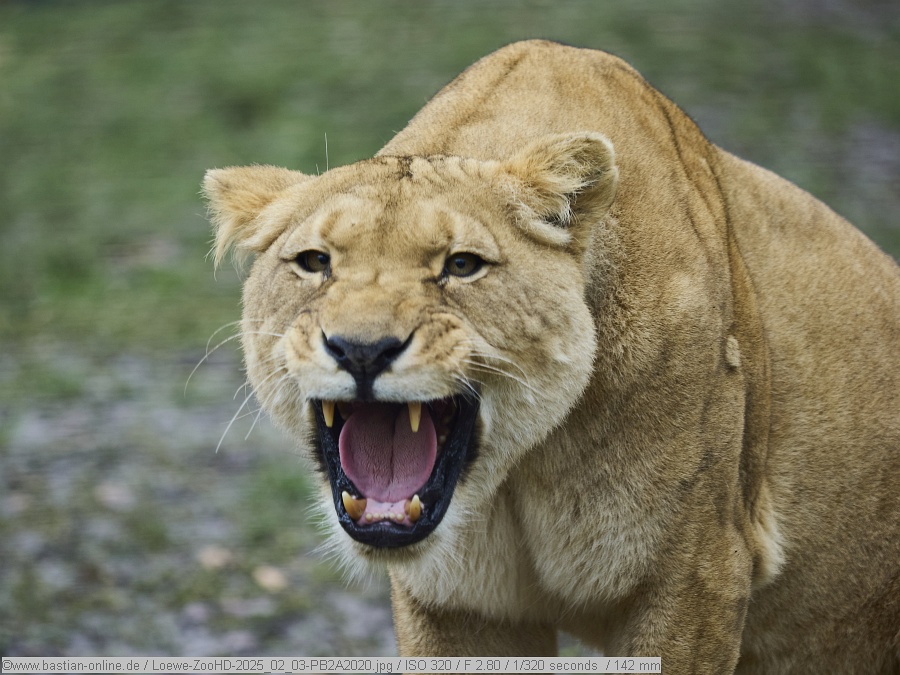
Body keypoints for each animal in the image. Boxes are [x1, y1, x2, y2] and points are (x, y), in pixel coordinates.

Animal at [202, 41, 900, 673]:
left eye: (462, 266)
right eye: (314, 262)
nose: (363, 350)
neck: (515, 473)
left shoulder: (698, 572)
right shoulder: (458, 602)